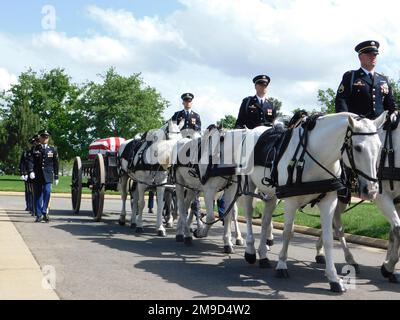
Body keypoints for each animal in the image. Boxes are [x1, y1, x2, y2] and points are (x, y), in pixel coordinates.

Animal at [236, 112, 386, 292]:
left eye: (380, 147)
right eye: (358, 148)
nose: (371, 190)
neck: (315, 156)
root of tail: (254, 130)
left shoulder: (329, 202)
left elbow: (329, 237)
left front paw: (334, 278)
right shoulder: (291, 202)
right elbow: (288, 233)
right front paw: (281, 265)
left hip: (272, 195)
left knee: (265, 221)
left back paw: (263, 256)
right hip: (249, 186)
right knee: (249, 216)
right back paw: (250, 250)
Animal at [316, 112, 400, 282]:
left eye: (380, 148)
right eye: (358, 148)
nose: (371, 190)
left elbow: (393, 232)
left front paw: (388, 264)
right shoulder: (382, 197)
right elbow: (397, 229)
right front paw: (388, 267)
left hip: (341, 198)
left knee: (333, 224)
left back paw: (320, 251)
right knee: (338, 227)